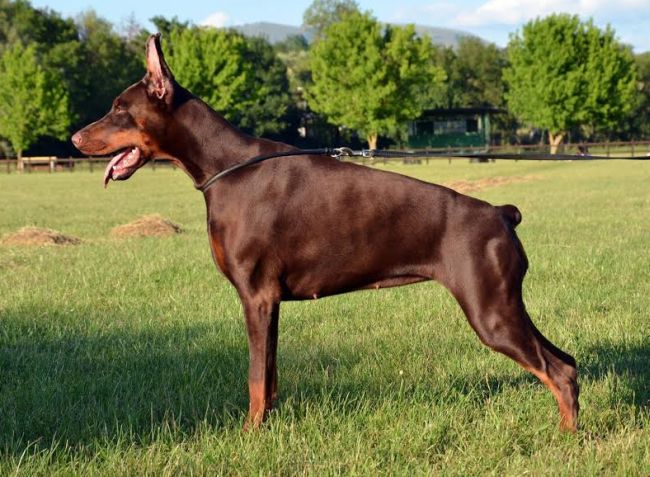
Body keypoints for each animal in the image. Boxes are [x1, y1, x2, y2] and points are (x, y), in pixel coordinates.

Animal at [72, 34, 579, 431]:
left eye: (118, 109)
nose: (75, 139)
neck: (225, 168)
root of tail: (501, 213)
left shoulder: (256, 296)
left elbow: (255, 378)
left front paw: (248, 436)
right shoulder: (269, 302)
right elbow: (269, 377)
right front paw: (267, 428)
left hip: (489, 311)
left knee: (556, 371)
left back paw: (566, 438)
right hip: (504, 303)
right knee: (568, 363)